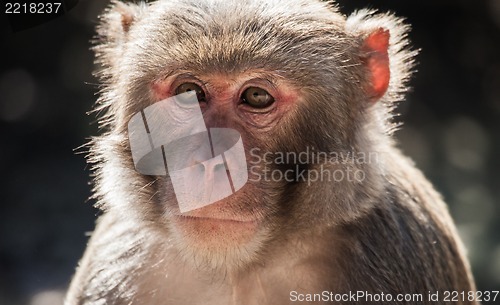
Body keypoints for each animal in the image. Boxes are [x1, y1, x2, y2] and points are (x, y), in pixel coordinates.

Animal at [65, 0, 476, 304]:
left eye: (257, 96)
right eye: (189, 92)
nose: (211, 162)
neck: (240, 268)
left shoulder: (401, 248)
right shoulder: (119, 259)